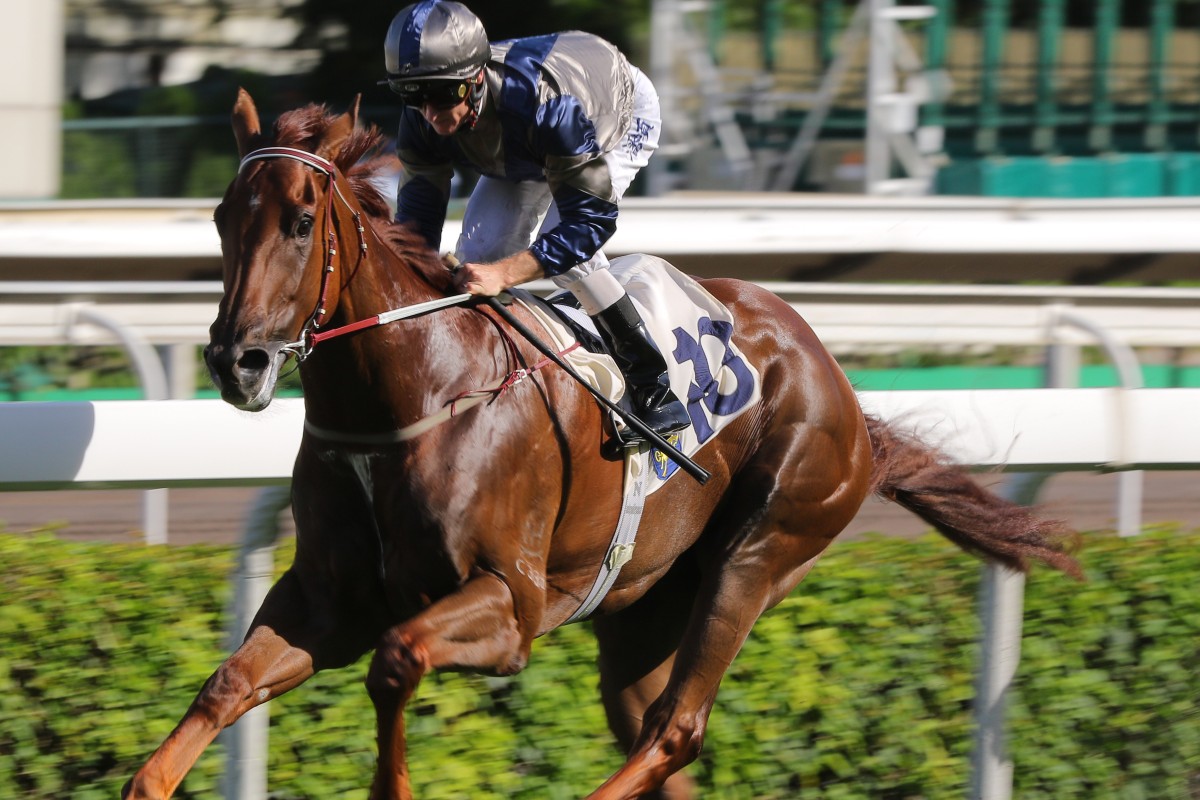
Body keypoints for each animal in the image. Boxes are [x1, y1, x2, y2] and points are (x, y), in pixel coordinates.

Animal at [121, 90, 1080, 796]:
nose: (236, 361)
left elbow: (395, 663)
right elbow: (226, 684)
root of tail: (838, 385)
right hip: (642, 610)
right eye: (222, 217)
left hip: (761, 549)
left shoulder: (509, 604)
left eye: (298, 220)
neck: (408, 395)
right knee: (653, 731)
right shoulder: (328, 600)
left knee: (678, 729)